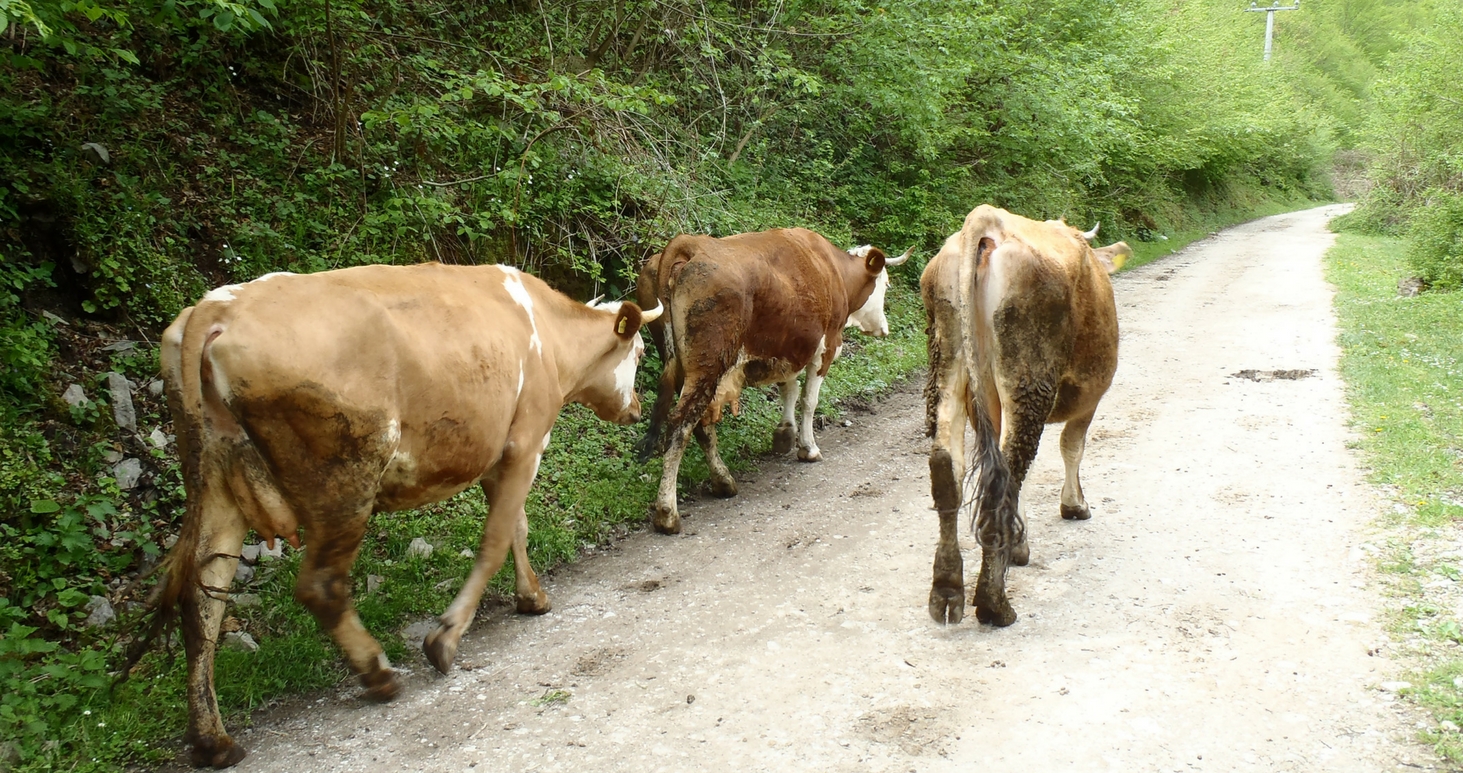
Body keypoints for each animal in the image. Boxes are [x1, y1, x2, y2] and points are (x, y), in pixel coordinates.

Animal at [135, 263, 660, 767]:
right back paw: (377, 673)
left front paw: (532, 596)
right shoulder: (525, 441)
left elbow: (518, 527)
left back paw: (212, 740)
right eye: (638, 356)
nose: (637, 408)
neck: (549, 335)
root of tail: (219, 305)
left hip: (217, 483)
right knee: (319, 586)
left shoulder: (498, 455)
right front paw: (445, 639)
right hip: (344, 479)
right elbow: (494, 541)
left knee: (203, 600)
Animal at [633, 228, 910, 535]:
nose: (884, 329)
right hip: (708, 365)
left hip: (684, 365)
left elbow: (788, 388)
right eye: (885, 284)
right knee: (680, 425)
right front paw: (808, 447)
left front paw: (784, 433)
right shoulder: (825, 347)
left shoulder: (789, 348)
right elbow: (808, 400)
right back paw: (667, 513)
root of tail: (689, 244)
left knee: (700, 426)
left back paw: (723, 481)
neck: (833, 269)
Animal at [921, 205, 1123, 627]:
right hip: (1028, 376)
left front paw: (1018, 542)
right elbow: (1071, 447)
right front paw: (1074, 506)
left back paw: (947, 591)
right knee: (1006, 473)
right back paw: (994, 603)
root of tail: (988, 220)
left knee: (950, 467)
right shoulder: (1090, 399)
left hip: (947, 359)